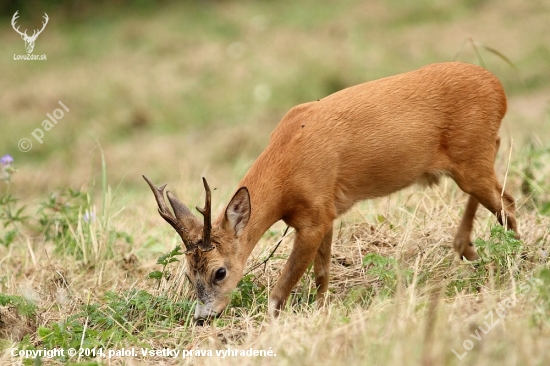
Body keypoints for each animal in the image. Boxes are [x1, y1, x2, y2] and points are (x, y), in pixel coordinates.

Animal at [144, 60, 520, 324]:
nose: (203, 318)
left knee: (509, 204)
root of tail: (499, 88)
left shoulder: (313, 217)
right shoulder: (326, 213)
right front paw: (323, 310)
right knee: (500, 180)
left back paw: (518, 259)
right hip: (471, 158)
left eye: (219, 272)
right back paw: (467, 248)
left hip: (471, 155)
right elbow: (322, 274)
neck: (287, 168)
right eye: (188, 273)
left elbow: (281, 290)